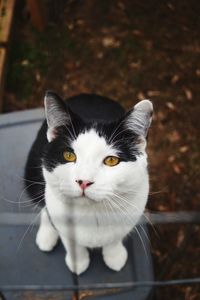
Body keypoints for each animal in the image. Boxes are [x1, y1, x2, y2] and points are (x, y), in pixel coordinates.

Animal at [25, 91, 153, 274]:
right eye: (69, 156)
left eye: (111, 160)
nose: (84, 181)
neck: (92, 213)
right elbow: (70, 241)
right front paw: (78, 262)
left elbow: (115, 238)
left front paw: (114, 256)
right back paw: (46, 235)